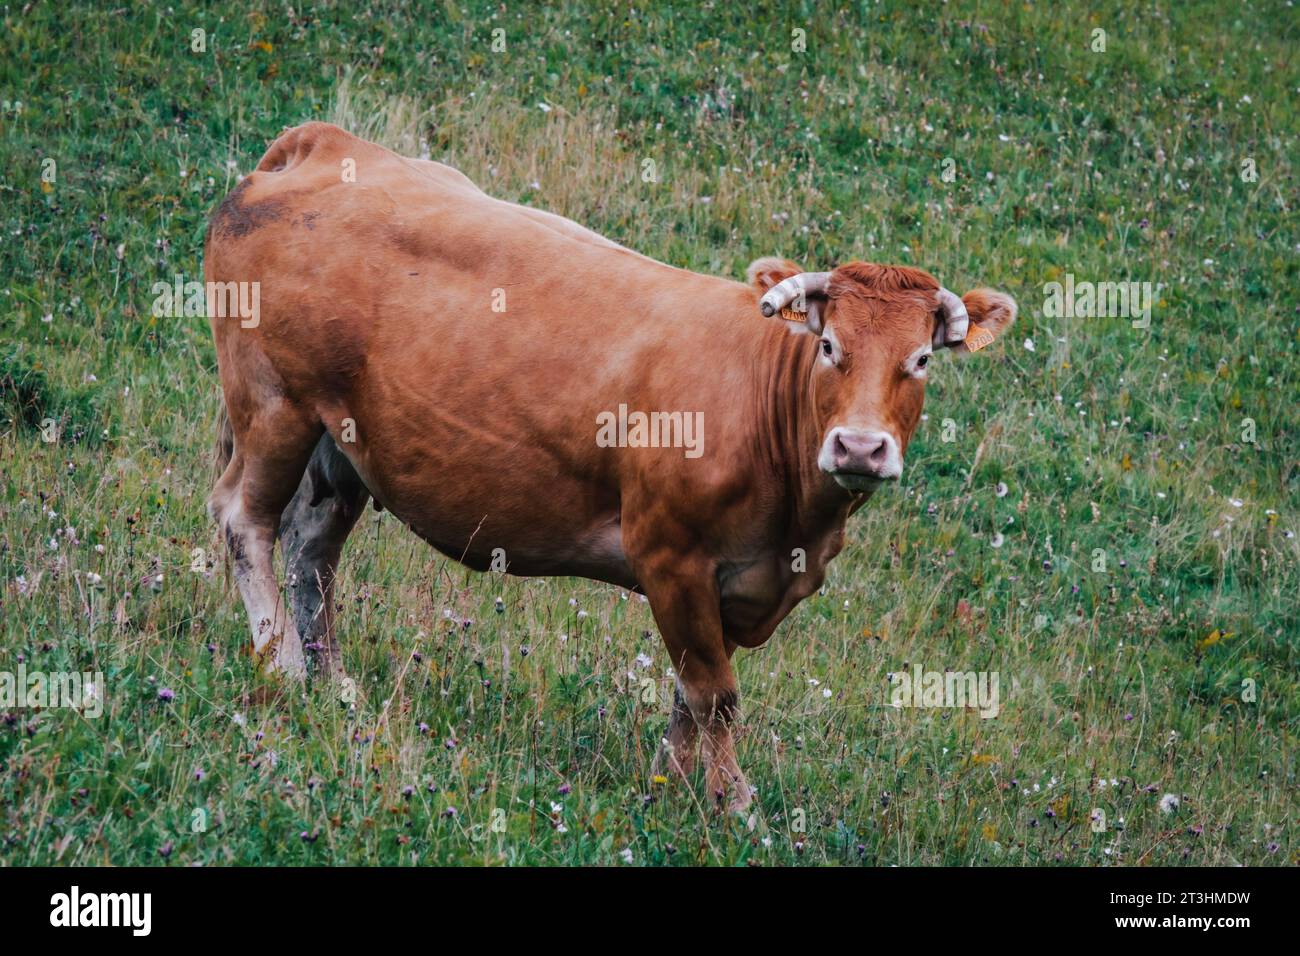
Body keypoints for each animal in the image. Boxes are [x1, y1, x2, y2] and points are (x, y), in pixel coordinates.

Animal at [205, 117, 1013, 806]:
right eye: (828, 346)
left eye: (920, 360)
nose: (860, 448)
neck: (797, 529)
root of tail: (323, 141)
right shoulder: (670, 556)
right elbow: (715, 693)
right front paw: (734, 805)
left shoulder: (729, 583)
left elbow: (690, 695)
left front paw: (672, 788)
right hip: (274, 401)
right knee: (244, 517)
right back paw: (282, 664)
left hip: (340, 440)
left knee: (314, 552)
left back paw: (333, 683)